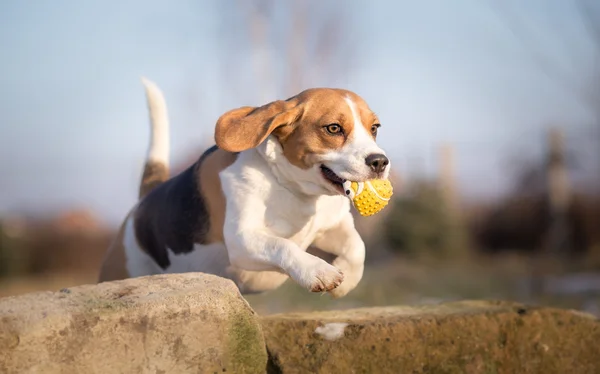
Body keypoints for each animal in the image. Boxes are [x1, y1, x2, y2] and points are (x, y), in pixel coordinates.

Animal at [99, 79, 390, 298]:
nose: (379, 162)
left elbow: (357, 247)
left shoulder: (333, 225)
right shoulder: (242, 240)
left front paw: (347, 279)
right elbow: (282, 245)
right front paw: (318, 271)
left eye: (374, 128)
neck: (291, 187)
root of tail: (143, 202)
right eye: (333, 128)